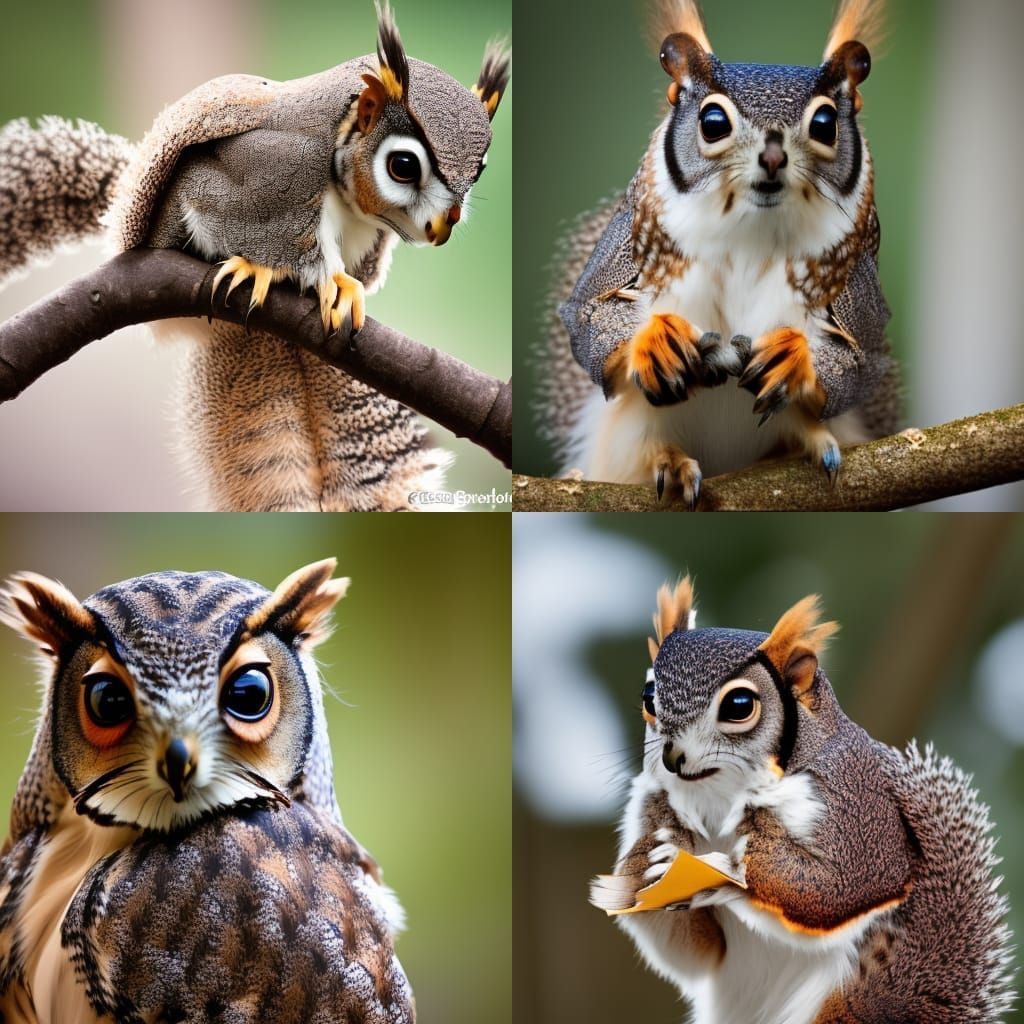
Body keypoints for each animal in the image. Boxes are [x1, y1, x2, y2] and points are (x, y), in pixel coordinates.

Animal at [590, 578, 1014, 1023]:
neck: (718, 797)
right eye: (648, 695)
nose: (672, 758)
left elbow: (846, 884)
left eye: (739, 705)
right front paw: (646, 863)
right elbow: (694, 950)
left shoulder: (853, 802)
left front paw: (740, 855)